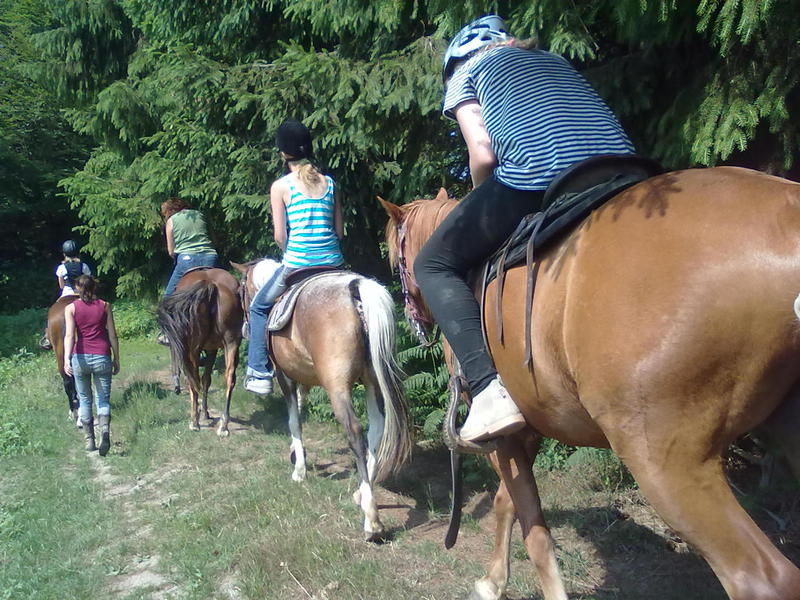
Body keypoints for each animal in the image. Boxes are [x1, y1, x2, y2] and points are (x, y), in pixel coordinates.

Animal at [156, 267, 243, 437]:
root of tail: (210, 284)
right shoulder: (212, 349)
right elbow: (206, 379)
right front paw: (206, 412)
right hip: (232, 342)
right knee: (229, 378)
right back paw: (224, 425)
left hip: (193, 348)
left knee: (193, 380)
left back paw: (194, 422)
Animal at [231, 259, 411, 542]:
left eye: (241, 293)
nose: (244, 328)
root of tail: (355, 289)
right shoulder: (302, 377)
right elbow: (300, 409)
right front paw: (295, 453)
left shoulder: (285, 376)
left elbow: (294, 420)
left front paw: (299, 469)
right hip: (372, 380)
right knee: (376, 427)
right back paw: (362, 493)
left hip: (337, 386)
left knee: (355, 432)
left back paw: (371, 521)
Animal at [382, 167, 800, 600]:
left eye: (396, 260)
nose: (413, 319)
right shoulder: (529, 429)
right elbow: (507, 502)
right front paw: (494, 579)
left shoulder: (504, 437)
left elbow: (534, 529)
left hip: (667, 462)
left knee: (761, 578)